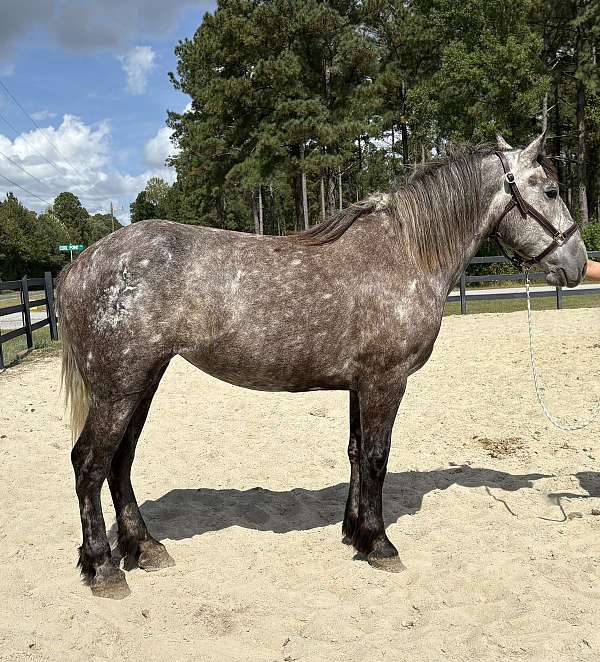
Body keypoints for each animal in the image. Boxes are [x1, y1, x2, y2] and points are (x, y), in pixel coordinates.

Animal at [57, 132, 587, 598]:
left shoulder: (359, 384)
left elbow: (355, 453)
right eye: (551, 189)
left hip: (143, 381)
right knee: (89, 464)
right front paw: (381, 544)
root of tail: (80, 264)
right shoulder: (385, 382)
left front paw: (355, 533)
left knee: (120, 462)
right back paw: (104, 567)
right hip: (119, 388)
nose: (578, 265)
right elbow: (376, 457)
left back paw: (144, 548)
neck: (405, 253)